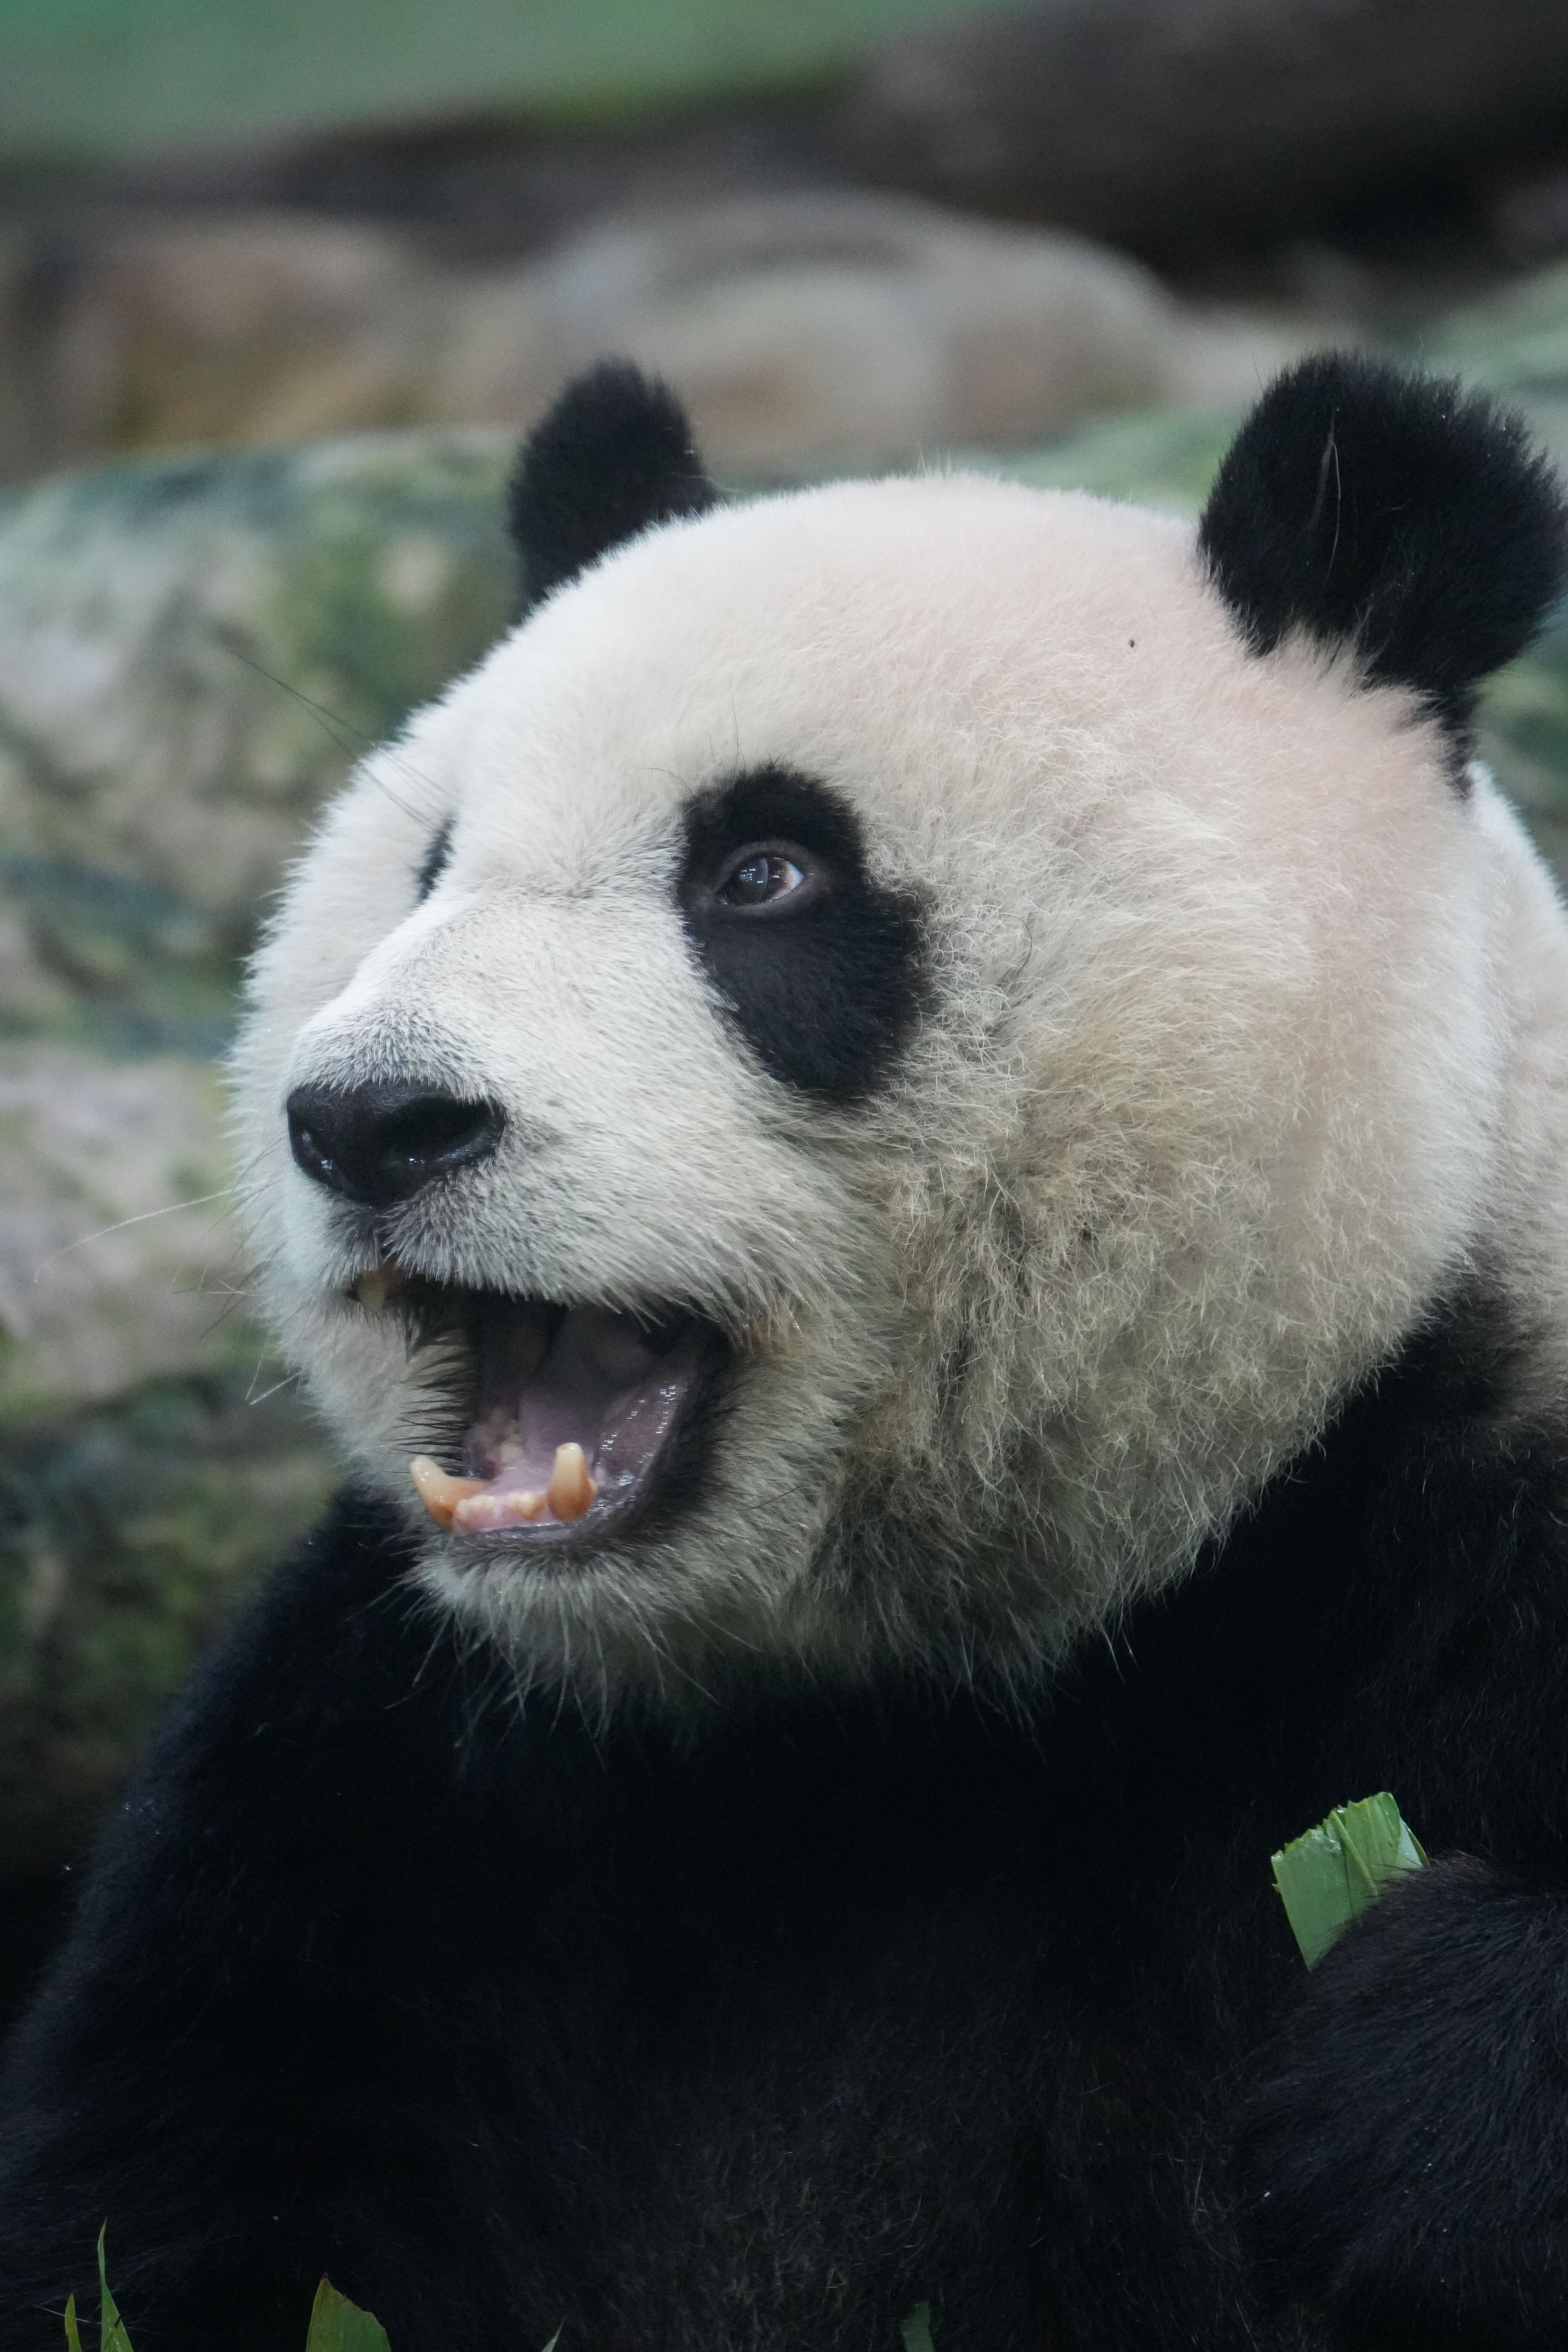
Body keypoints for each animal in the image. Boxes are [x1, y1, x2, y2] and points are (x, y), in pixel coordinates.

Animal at [2, 351, 1568, 2352]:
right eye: (427, 866)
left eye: (762, 872)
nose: (369, 1121)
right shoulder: (390, 1782)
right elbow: (164, 2201)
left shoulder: (1462, 1534)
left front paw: (1405, 2089)